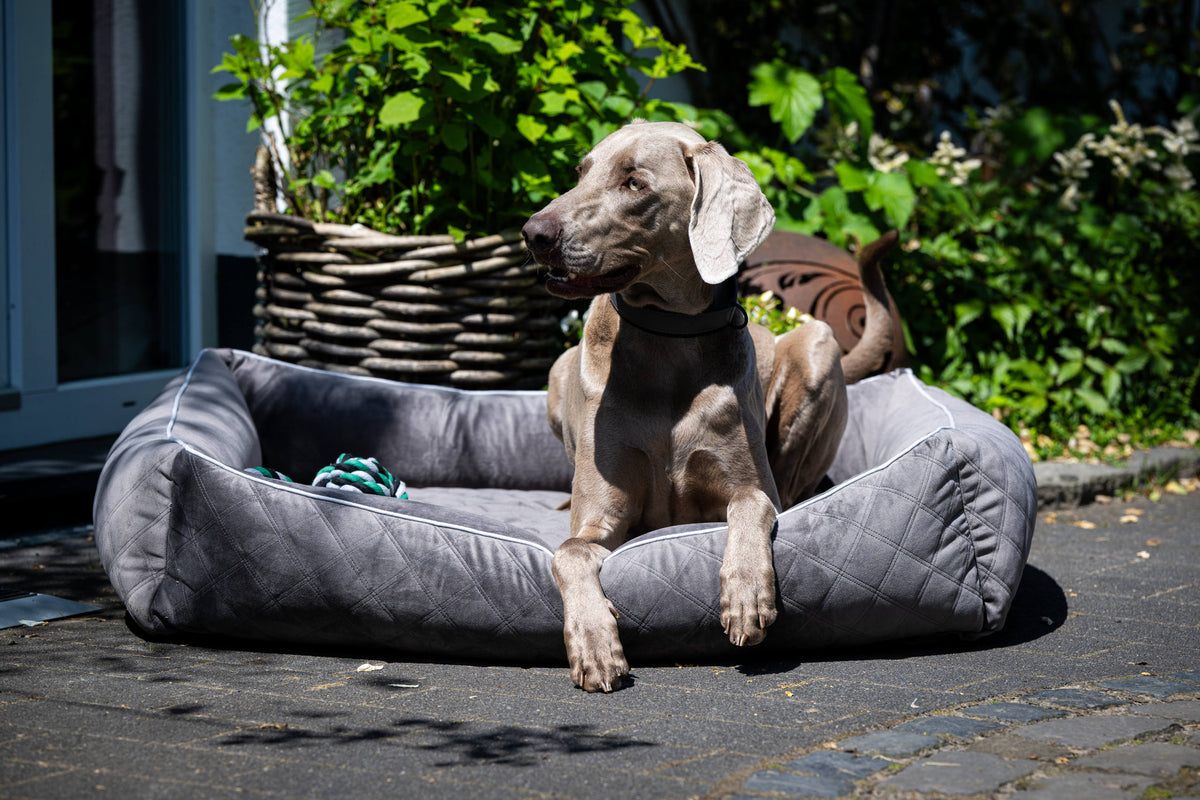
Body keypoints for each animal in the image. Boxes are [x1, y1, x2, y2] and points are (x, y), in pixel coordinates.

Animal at [520, 120, 897, 695]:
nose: (534, 233)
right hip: (559, 368)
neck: (667, 339)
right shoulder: (601, 516)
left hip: (820, 343)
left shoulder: (749, 485)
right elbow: (569, 551)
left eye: (634, 183)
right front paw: (594, 645)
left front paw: (746, 594)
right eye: (581, 173)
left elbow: (751, 502)